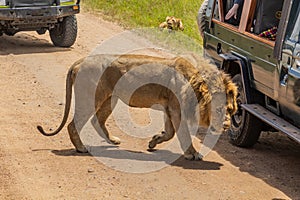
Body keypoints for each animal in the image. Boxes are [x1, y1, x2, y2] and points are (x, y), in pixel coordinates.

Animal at [37, 54, 238, 160]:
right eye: (219, 110)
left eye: (230, 110)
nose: (227, 125)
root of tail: (81, 60)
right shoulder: (176, 109)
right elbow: (183, 135)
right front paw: (193, 154)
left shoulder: (169, 108)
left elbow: (170, 133)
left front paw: (154, 141)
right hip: (90, 98)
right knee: (73, 124)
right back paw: (81, 148)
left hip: (111, 98)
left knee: (97, 120)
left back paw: (112, 141)